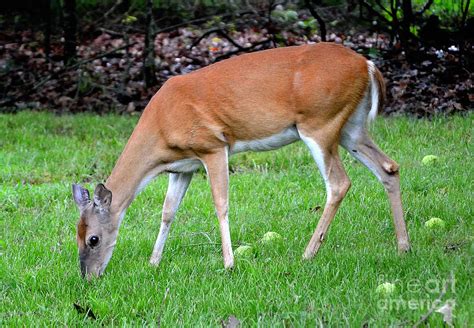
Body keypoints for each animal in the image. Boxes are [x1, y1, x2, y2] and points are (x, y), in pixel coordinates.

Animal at [71, 42, 412, 280]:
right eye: (75, 234)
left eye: (93, 239)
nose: (88, 277)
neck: (161, 131)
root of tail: (368, 65)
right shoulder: (183, 167)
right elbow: (168, 212)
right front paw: (154, 262)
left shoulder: (212, 146)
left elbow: (220, 204)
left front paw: (229, 263)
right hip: (351, 127)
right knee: (389, 167)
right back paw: (403, 246)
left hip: (320, 122)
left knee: (339, 183)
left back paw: (308, 253)